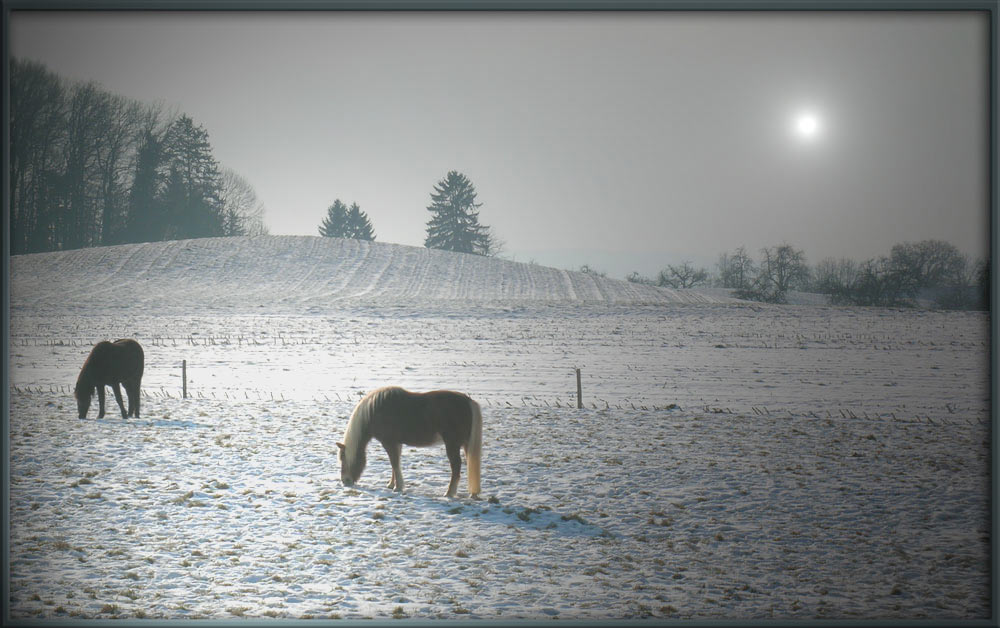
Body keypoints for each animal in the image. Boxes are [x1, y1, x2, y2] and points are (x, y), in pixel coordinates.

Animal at [338, 386, 482, 498]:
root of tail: (468, 402)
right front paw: (391, 484)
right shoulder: (396, 443)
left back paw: (449, 493)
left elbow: (394, 463)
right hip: (465, 444)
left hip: (452, 445)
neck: (374, 412)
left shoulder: (389, 442)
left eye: (343, 459)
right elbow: (395, 464)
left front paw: (397, 487)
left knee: (456, 467)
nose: (345, 481)